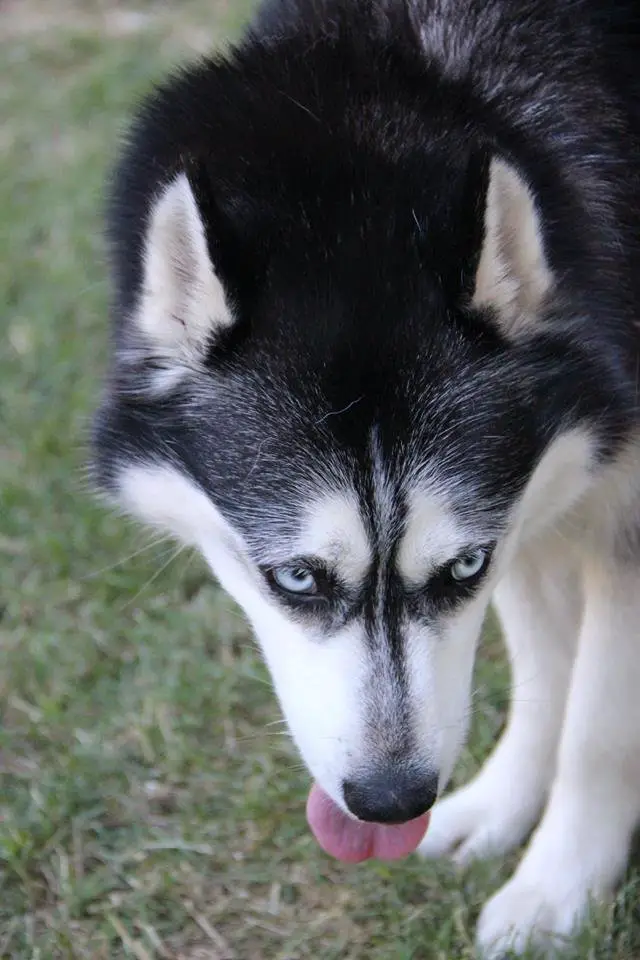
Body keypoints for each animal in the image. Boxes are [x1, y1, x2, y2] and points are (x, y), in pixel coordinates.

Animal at [91, 0, 640, 952]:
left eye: (460, 567)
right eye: (297, 578)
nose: (392, 802)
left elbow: (599, 727)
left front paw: (558, 887)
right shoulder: (533, 508)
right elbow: (547, 677)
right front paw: (503, 806)